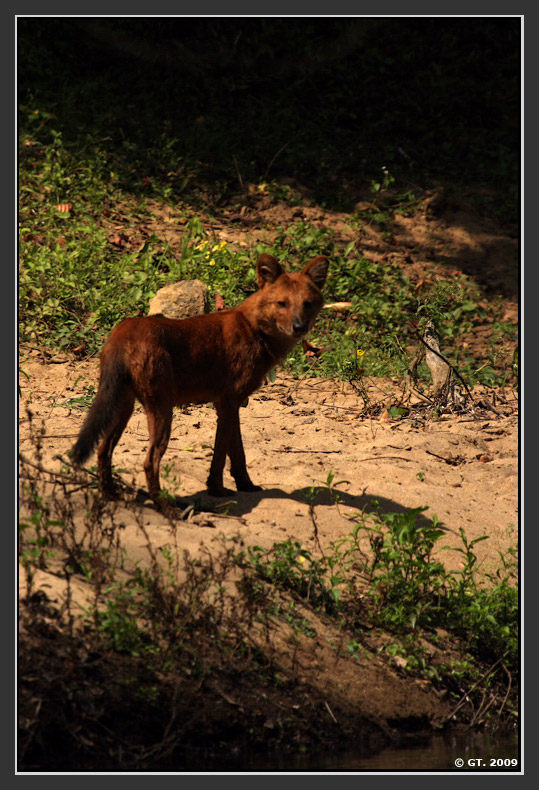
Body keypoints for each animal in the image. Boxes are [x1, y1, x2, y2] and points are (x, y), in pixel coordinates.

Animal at [71, 254, 330, 508]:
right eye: (282, 303)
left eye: (307, 304)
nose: (299, 327)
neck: (253, 330)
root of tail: (123, 330)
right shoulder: (227, 402)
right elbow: (220, 454)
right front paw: (217, 489)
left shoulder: (231, 404)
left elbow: (237, 452)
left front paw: (246, 485)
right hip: (162, 410)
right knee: (149, 461)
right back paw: (166, 508)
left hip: (123, 407)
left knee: (103, 450)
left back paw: (111, 496)